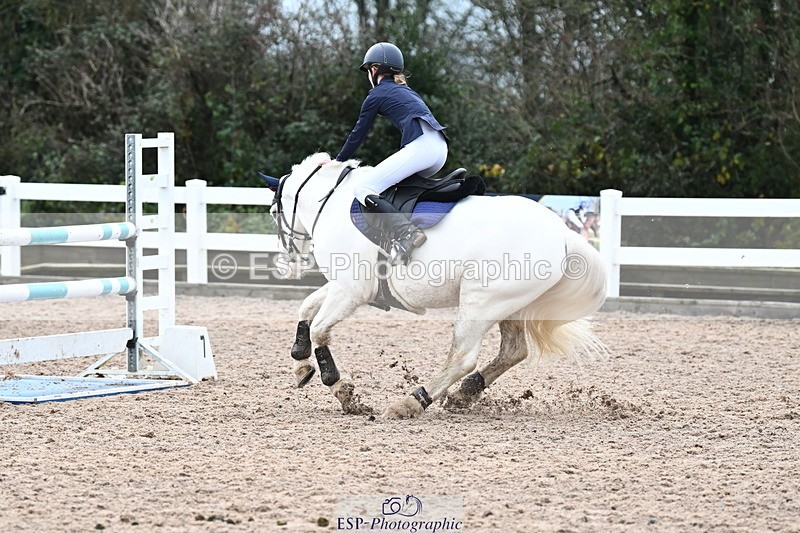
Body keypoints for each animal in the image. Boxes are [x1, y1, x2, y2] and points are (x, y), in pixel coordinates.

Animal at [264, 153, 609, 419]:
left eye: (273, 212)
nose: (287, 262)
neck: (331, 203)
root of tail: (562, 233)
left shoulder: (352, 289)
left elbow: (319, 329)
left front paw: (340, 389)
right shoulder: (345, 285)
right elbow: (306, 309)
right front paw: (300, 361)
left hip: (480, 301)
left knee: (464, 356)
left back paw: (413, 402)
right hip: (509, 303)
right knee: (513, 350)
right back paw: (465, 393)